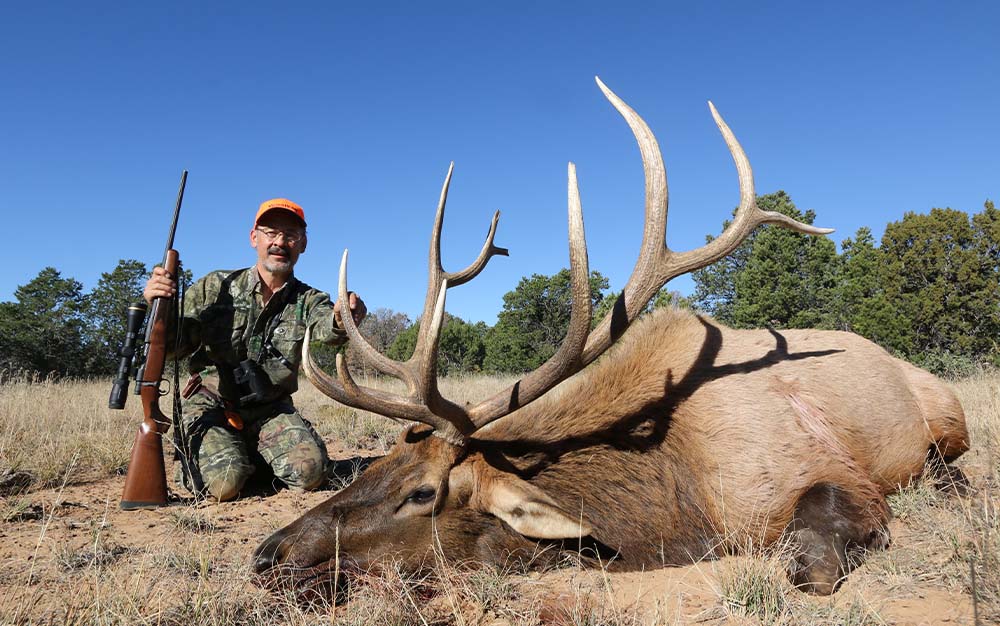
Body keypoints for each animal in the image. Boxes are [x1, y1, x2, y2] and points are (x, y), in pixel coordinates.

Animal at [252, 78, 968, 596]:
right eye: (375, 465)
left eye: (421, 494)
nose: (268, 553)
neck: (682, 499)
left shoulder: (832, 471)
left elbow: (813, 564)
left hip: (947, 410)